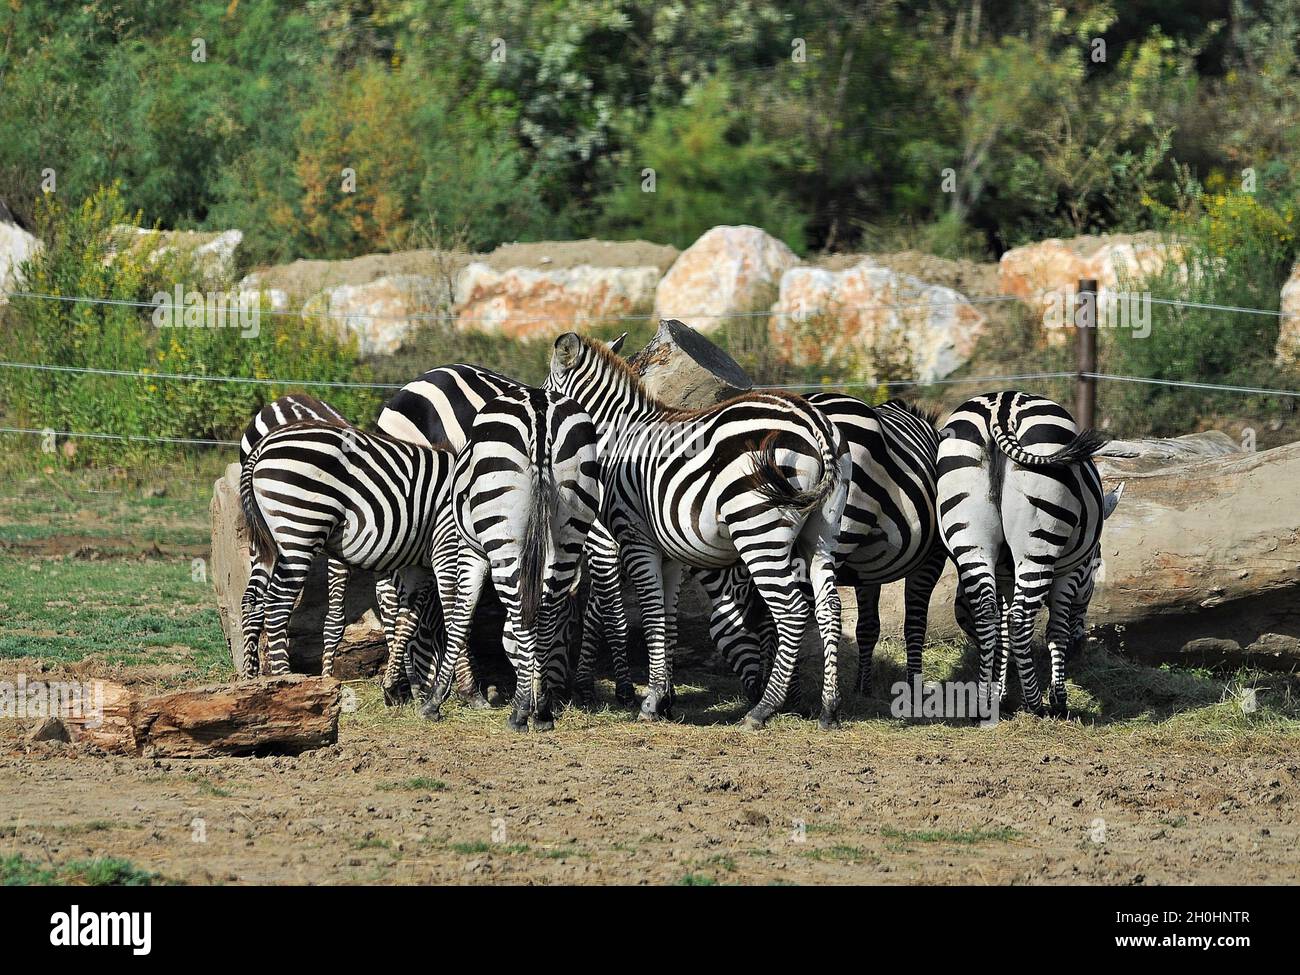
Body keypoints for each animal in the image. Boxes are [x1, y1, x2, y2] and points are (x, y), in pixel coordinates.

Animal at [237, 392, 351, 681]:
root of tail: (285, 400)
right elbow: (336, 617)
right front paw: (327, 676)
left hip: (261, 531)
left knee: (252, 602)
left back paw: (252, 673)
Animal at [237, 423, 457, 681]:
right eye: (430, 635)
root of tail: (262, 445)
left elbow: (390, 606)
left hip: (265, 545)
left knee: (251, 600)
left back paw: (251, 676)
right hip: (301, 529)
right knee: (277, 603)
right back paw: (286, 676)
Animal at [416, 390, 598, 733]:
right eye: (569, 633)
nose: (562, 691)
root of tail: (540, 410)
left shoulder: (469, 549)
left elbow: (460, 617)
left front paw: (435, 702)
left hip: (501, 531)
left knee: (521, 615)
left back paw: (520, 711)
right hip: (570, 527)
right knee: (544, 613)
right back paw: (541, 712)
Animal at [548, 332, 852, 728]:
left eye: (544, 395)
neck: (616, 437)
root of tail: (813, 419)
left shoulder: (635, 538)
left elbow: (648, 614)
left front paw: (649, 702)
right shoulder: (671, 552)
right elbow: (666, 619)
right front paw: (664, 699)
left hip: (758, 529)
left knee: (791, 610)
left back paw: (762, 709)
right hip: (821, 531)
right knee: (829, 606)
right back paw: (829, 708)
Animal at [941, 392, 1123, 717]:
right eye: (1097, 562)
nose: (1081, 647)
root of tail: (1001, 409)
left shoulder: (1004, 573)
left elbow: (1001, 629)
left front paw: (1000, 692)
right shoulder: (1070, 572)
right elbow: (1056, 630)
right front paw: (1058, 698)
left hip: (969, 537)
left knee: (986, 613)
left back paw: (983, 702)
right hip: (1040, 543)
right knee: (1021, 619)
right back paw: (1036, 703)